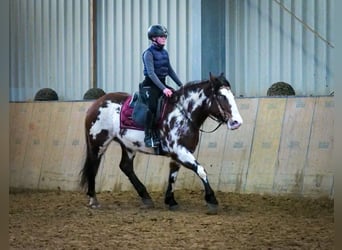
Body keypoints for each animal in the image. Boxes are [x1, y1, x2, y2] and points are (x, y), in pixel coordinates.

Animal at [79, 73, 243, 215]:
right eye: (221, 96)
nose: (237, 122)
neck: (183, 113)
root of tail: (96, 104)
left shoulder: (179, 154)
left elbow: (173, 175)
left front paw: (171, 201)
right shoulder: (180, 151)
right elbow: (201, 170)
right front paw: (212, 200)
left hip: (129, 146)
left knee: (125, 167)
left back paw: (146, 197)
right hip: (98, 144)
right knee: (93, 166)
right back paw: (93, 199)